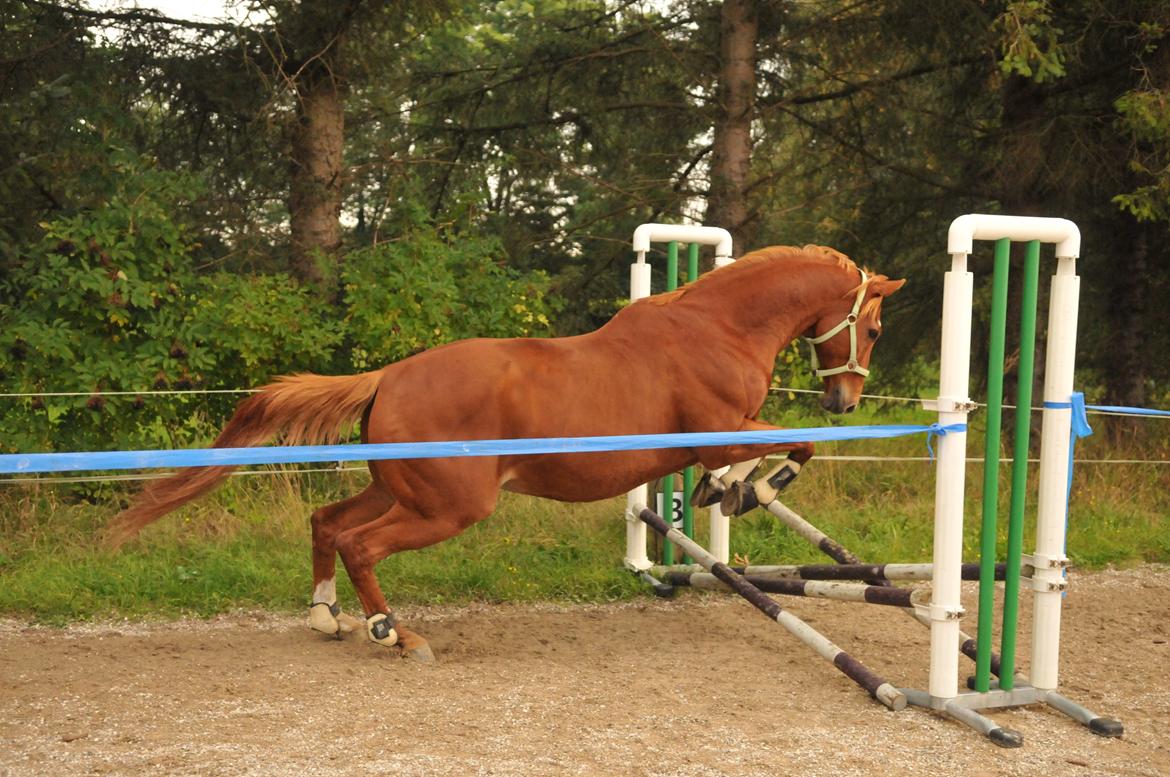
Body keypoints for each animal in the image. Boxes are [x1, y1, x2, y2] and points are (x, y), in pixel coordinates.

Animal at [109, 245, 903, 659]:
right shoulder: (723, 423)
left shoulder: (721, 429)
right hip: (448, 506)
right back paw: (395, 634)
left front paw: (728, 489)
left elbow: (762, 454)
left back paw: (327, 617)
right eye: (874, 328)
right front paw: (744, 487)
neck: (717, 327)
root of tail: (389, 376)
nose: (846, 401)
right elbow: (792, 444)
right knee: (362, 544)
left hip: (401, 489)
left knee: (329, 524)